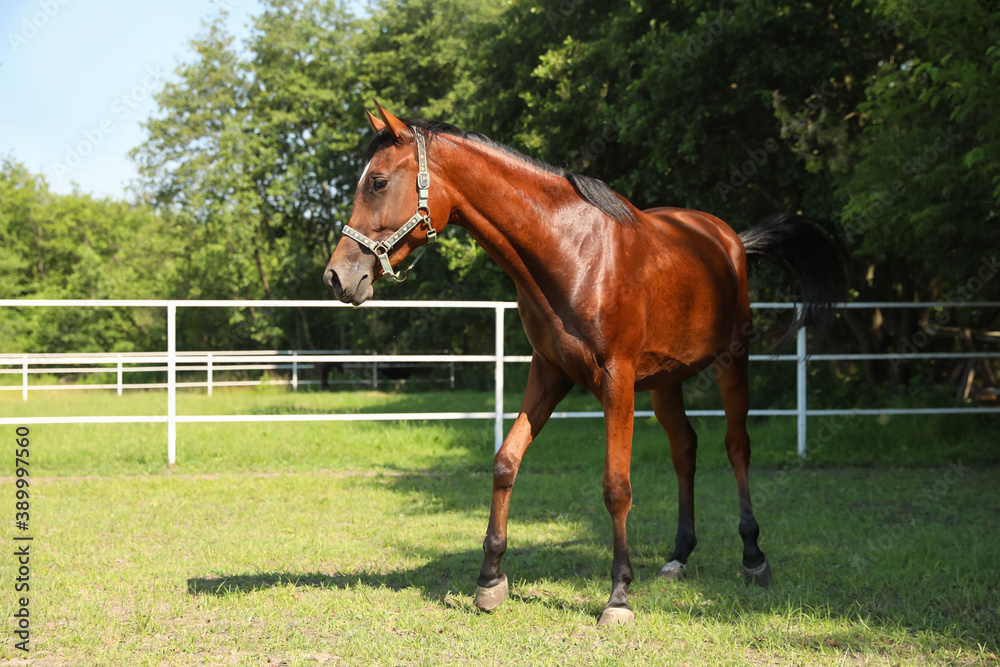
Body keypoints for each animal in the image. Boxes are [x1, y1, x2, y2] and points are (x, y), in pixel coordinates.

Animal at [323, 102, 846, 627]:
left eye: (378, 182)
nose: (337, 277)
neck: (572, 253)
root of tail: (729, 238)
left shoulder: (616, 381)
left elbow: (617, 487)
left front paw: (618, 595)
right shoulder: (549, 374)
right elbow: (506, 462)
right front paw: (490, 579)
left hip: (731, 363)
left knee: (737, 447)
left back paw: (753, 556)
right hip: (666, 382)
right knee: (685, 450)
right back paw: (678, 556)